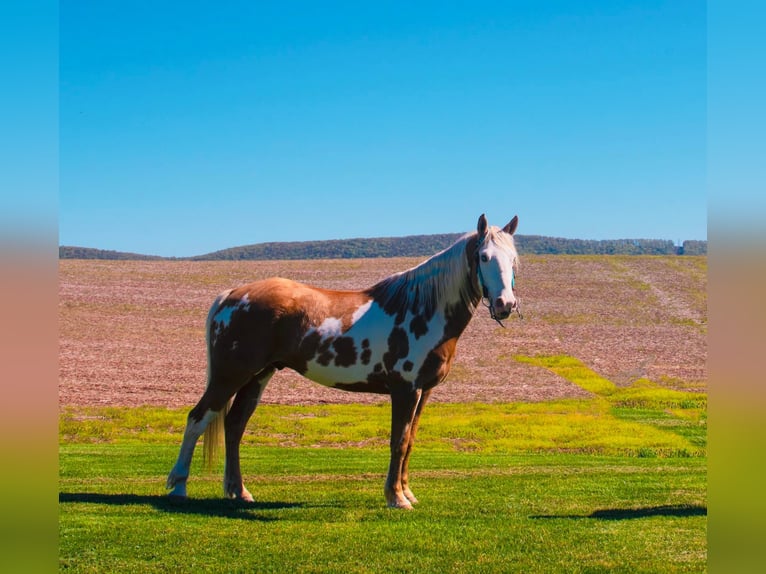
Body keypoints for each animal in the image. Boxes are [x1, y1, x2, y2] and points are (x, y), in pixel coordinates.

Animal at [168, 214, 520, 510]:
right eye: (484, 256)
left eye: (514, 259)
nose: (505, 304)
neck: (421, 308)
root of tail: (231, 295)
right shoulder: (405, 390)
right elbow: (398, 441)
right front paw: (396, 498)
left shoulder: (424, 392)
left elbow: (410, 442)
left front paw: (407, 493)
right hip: (230, 374)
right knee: (197, 418)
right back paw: (178, 486)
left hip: (258, 376)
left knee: (234, 425)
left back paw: (238, 491)